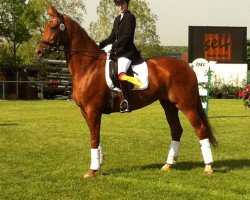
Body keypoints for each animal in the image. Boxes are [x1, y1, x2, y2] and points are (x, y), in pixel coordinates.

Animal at [35, 6, 217, 177]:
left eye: (53, 27)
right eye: (45, 26)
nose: (38, 51)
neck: (88, 66)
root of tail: (188, 67)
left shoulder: (93, 110)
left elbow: (94, 138)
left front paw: (92, 170)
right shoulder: (85, 111)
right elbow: (96, 136)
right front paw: (99, 163)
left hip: (186, 105)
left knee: (200, 129)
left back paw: (208, 167)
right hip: (169, 105)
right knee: (176, 130)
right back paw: (168, 164)